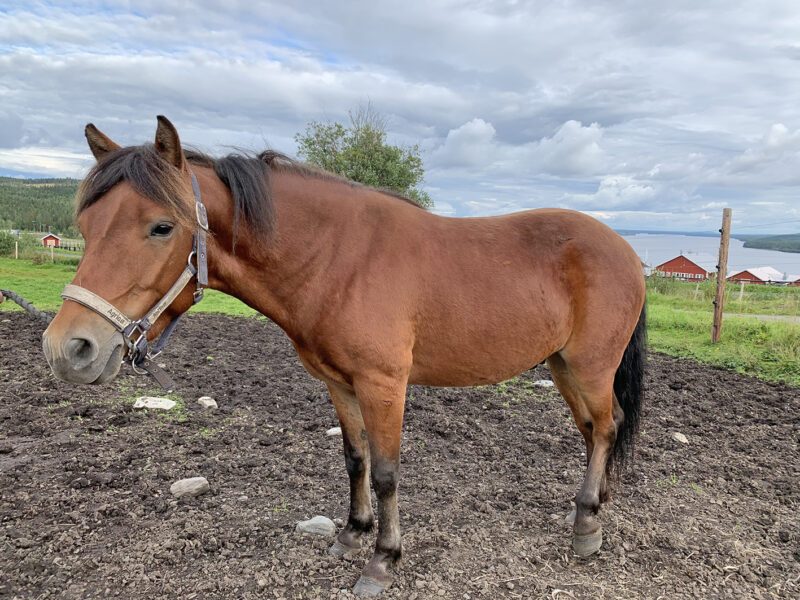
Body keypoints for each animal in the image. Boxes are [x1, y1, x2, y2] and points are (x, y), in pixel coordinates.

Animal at [42, 116, 644, 596]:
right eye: (85, 227)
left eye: (161, 227)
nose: (69, 348)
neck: (338, 257)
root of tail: (626, 250)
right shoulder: (338, 382)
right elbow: (355, 460)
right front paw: (353, 536)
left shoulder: (383, 384)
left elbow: (386, 472)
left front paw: (382, 560)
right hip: (562, 366)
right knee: (598, 427)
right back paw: (592, 504)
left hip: (590, 366)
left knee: (605, 427)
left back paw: (587, 527)